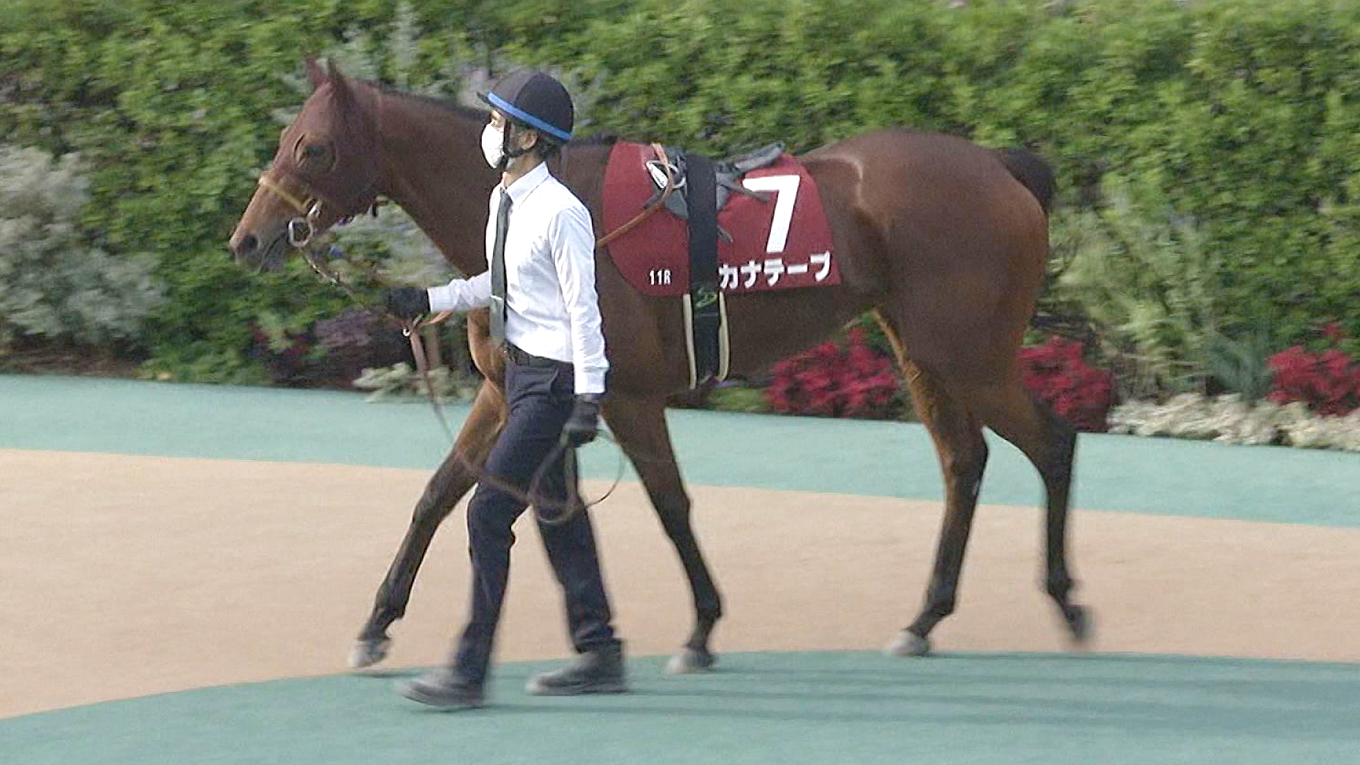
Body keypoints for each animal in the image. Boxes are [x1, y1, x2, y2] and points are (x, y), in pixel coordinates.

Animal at [228, 59, 1088, 674]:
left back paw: (1067, 602)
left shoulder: (628, 396)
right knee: (964, 462)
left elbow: (671, 505)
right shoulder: (506, 392)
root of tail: (1002, 168)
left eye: (312, 146)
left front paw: (701, 627)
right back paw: (925, 617)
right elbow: (439, 495)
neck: (527, 204)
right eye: (285, 137)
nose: (248, 239)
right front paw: (376, 623)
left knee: (1052, 442)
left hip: (971, 355)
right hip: (921, 352)